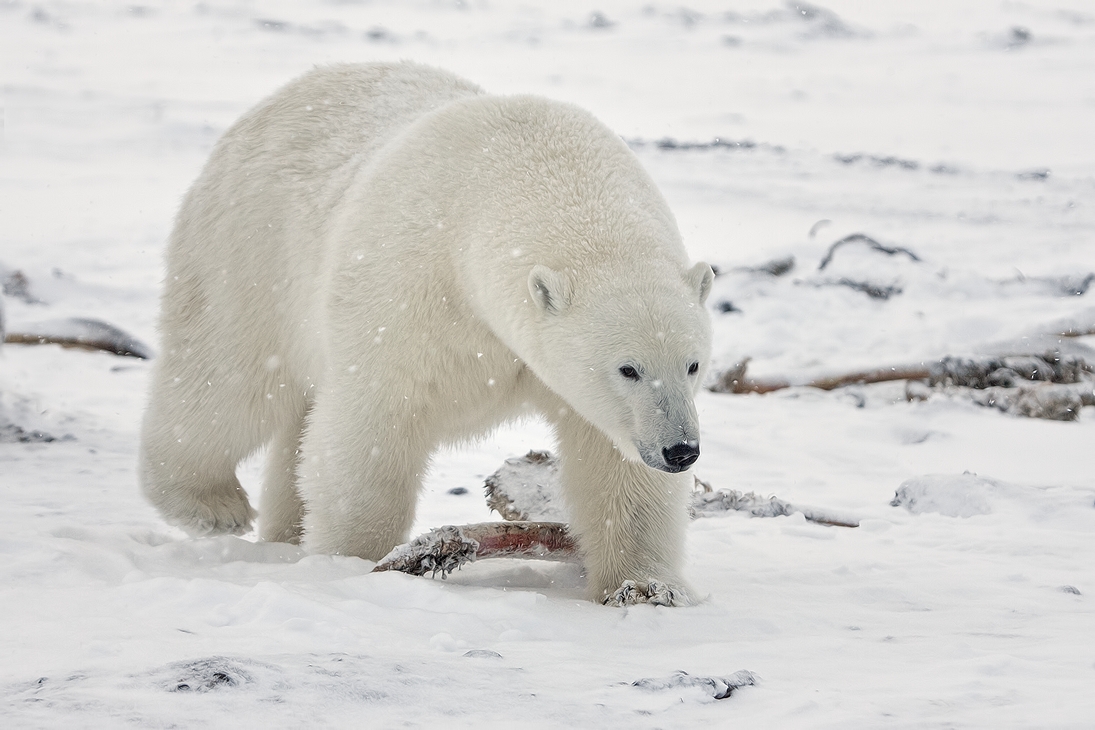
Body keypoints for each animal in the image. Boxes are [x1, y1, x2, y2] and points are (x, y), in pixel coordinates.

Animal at [136, 62, 713, 604]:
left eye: (693, 364)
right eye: (628, 368)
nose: (681, 450)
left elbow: (615, 463)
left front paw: (644, 587)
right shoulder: (409, 288)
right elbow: (373, 427)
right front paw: (354, 562)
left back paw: (284, 529)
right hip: (249, 250)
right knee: (230, 380)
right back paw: (212, 504)